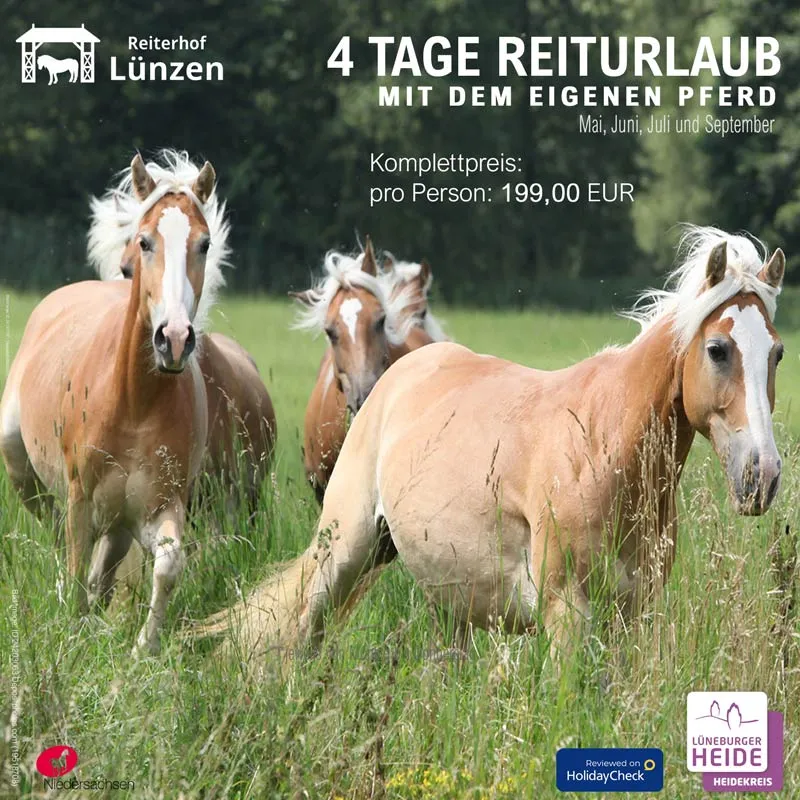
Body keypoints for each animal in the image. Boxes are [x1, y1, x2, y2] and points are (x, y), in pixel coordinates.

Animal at [0, 151, 227, 655]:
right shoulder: (80, 498)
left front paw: (144, 645)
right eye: (145, 241)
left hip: (120, 522)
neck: (133, 402)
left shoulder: (159, 507)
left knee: (104, 565)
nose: (174, 339)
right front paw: (72, 630)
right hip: (21, 464)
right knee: (57, 535)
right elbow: (73, 563)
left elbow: (168, 565)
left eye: (203, 244)